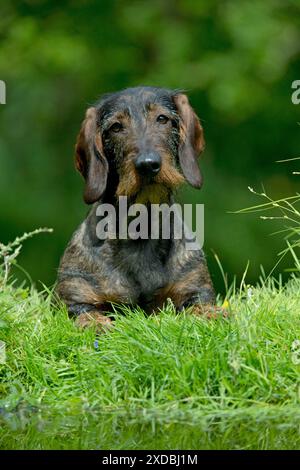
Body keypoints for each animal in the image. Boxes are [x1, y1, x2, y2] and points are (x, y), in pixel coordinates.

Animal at [56, 86, 225, 328]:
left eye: (162, 119)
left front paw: (212, 314)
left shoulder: (194, 289)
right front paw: (98, 325)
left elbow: (201, 306)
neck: (141, 229)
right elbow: (87, 314)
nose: (147, 165)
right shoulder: (75, 298)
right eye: (116, 127)